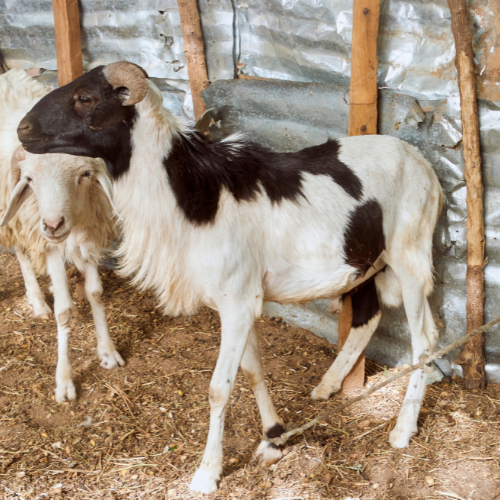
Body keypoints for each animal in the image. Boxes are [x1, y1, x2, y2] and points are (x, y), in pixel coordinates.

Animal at [0, 70, 124, 404]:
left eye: (85, 174)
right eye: (30, 179)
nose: (54, 224)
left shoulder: (90, 236)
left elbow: (95, 293)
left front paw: (107, 352)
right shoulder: (49, 245)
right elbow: (65, 311)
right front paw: (64, 380)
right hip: (16, 219)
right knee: (21, 253)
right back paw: (37, 301)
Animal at [17, 61, 444, 492]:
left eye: (85, 98)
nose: (22, 129)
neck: (192, 197)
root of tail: (421, 161)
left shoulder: (237, 304)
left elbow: (219, 389)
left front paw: (207, 473)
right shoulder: (244, 301)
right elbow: (253, 371)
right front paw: (274, 437)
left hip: (409, 257)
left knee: (425, 339)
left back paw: (402, 430)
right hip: (366, 264)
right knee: (367, 318)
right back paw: (326, 387)